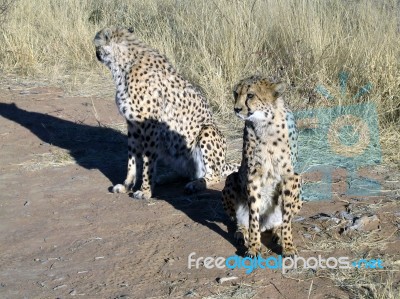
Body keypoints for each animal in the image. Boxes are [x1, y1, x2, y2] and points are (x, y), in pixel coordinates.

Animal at [93, 27, 234, 200]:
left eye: (97, 45)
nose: (96, 53)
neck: (123, 65)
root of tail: (224, 163)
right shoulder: (132, 124)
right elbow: (132, 159)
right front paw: (127, 185)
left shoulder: (150, 126)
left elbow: (147, 161)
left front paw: (145, 190)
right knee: (187, 172)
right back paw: (166, 177)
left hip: (207, 130)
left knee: (214, 175)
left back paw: (197, 184)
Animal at [220, 76, 302, 258]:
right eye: (236, 93)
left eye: (250, 95)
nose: (236, 109)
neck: (265, 124)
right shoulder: (253, 174)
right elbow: (253, 216)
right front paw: (254, 246)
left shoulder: (288, 175)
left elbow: (286, 218)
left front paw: (287, 245)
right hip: (232, 178)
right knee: (238, 220)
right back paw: (241, 233)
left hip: (298, 179)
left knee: (280, 221)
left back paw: (277, 232)